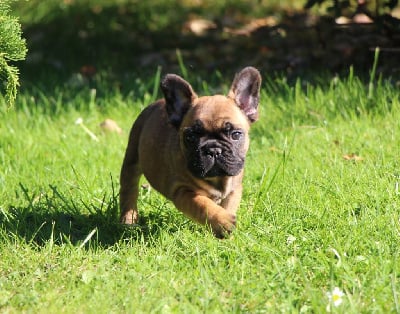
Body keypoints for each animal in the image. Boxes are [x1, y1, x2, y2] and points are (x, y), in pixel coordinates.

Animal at [119, 67, 262, 238]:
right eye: (191, 137)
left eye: (235, 135)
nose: (213, 149)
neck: (217, 179)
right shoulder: (182, 190)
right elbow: (203, 205)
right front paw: (222, 221)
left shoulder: (234, 189)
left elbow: (228, 205)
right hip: (132, 157)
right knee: (129, 188)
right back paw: (128, 219)